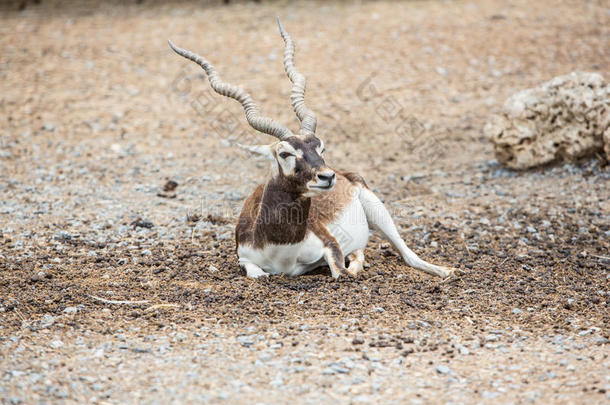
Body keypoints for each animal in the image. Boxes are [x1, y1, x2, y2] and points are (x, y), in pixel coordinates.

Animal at [169, 19, 454, 278]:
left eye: (321, 147)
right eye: (284, 153)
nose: (327, 177)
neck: (280, 248)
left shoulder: (330, 245)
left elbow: (342, 272)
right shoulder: (244, 258)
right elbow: (257, 274)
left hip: (378, 211)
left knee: (406, 254)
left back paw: (445, 271)